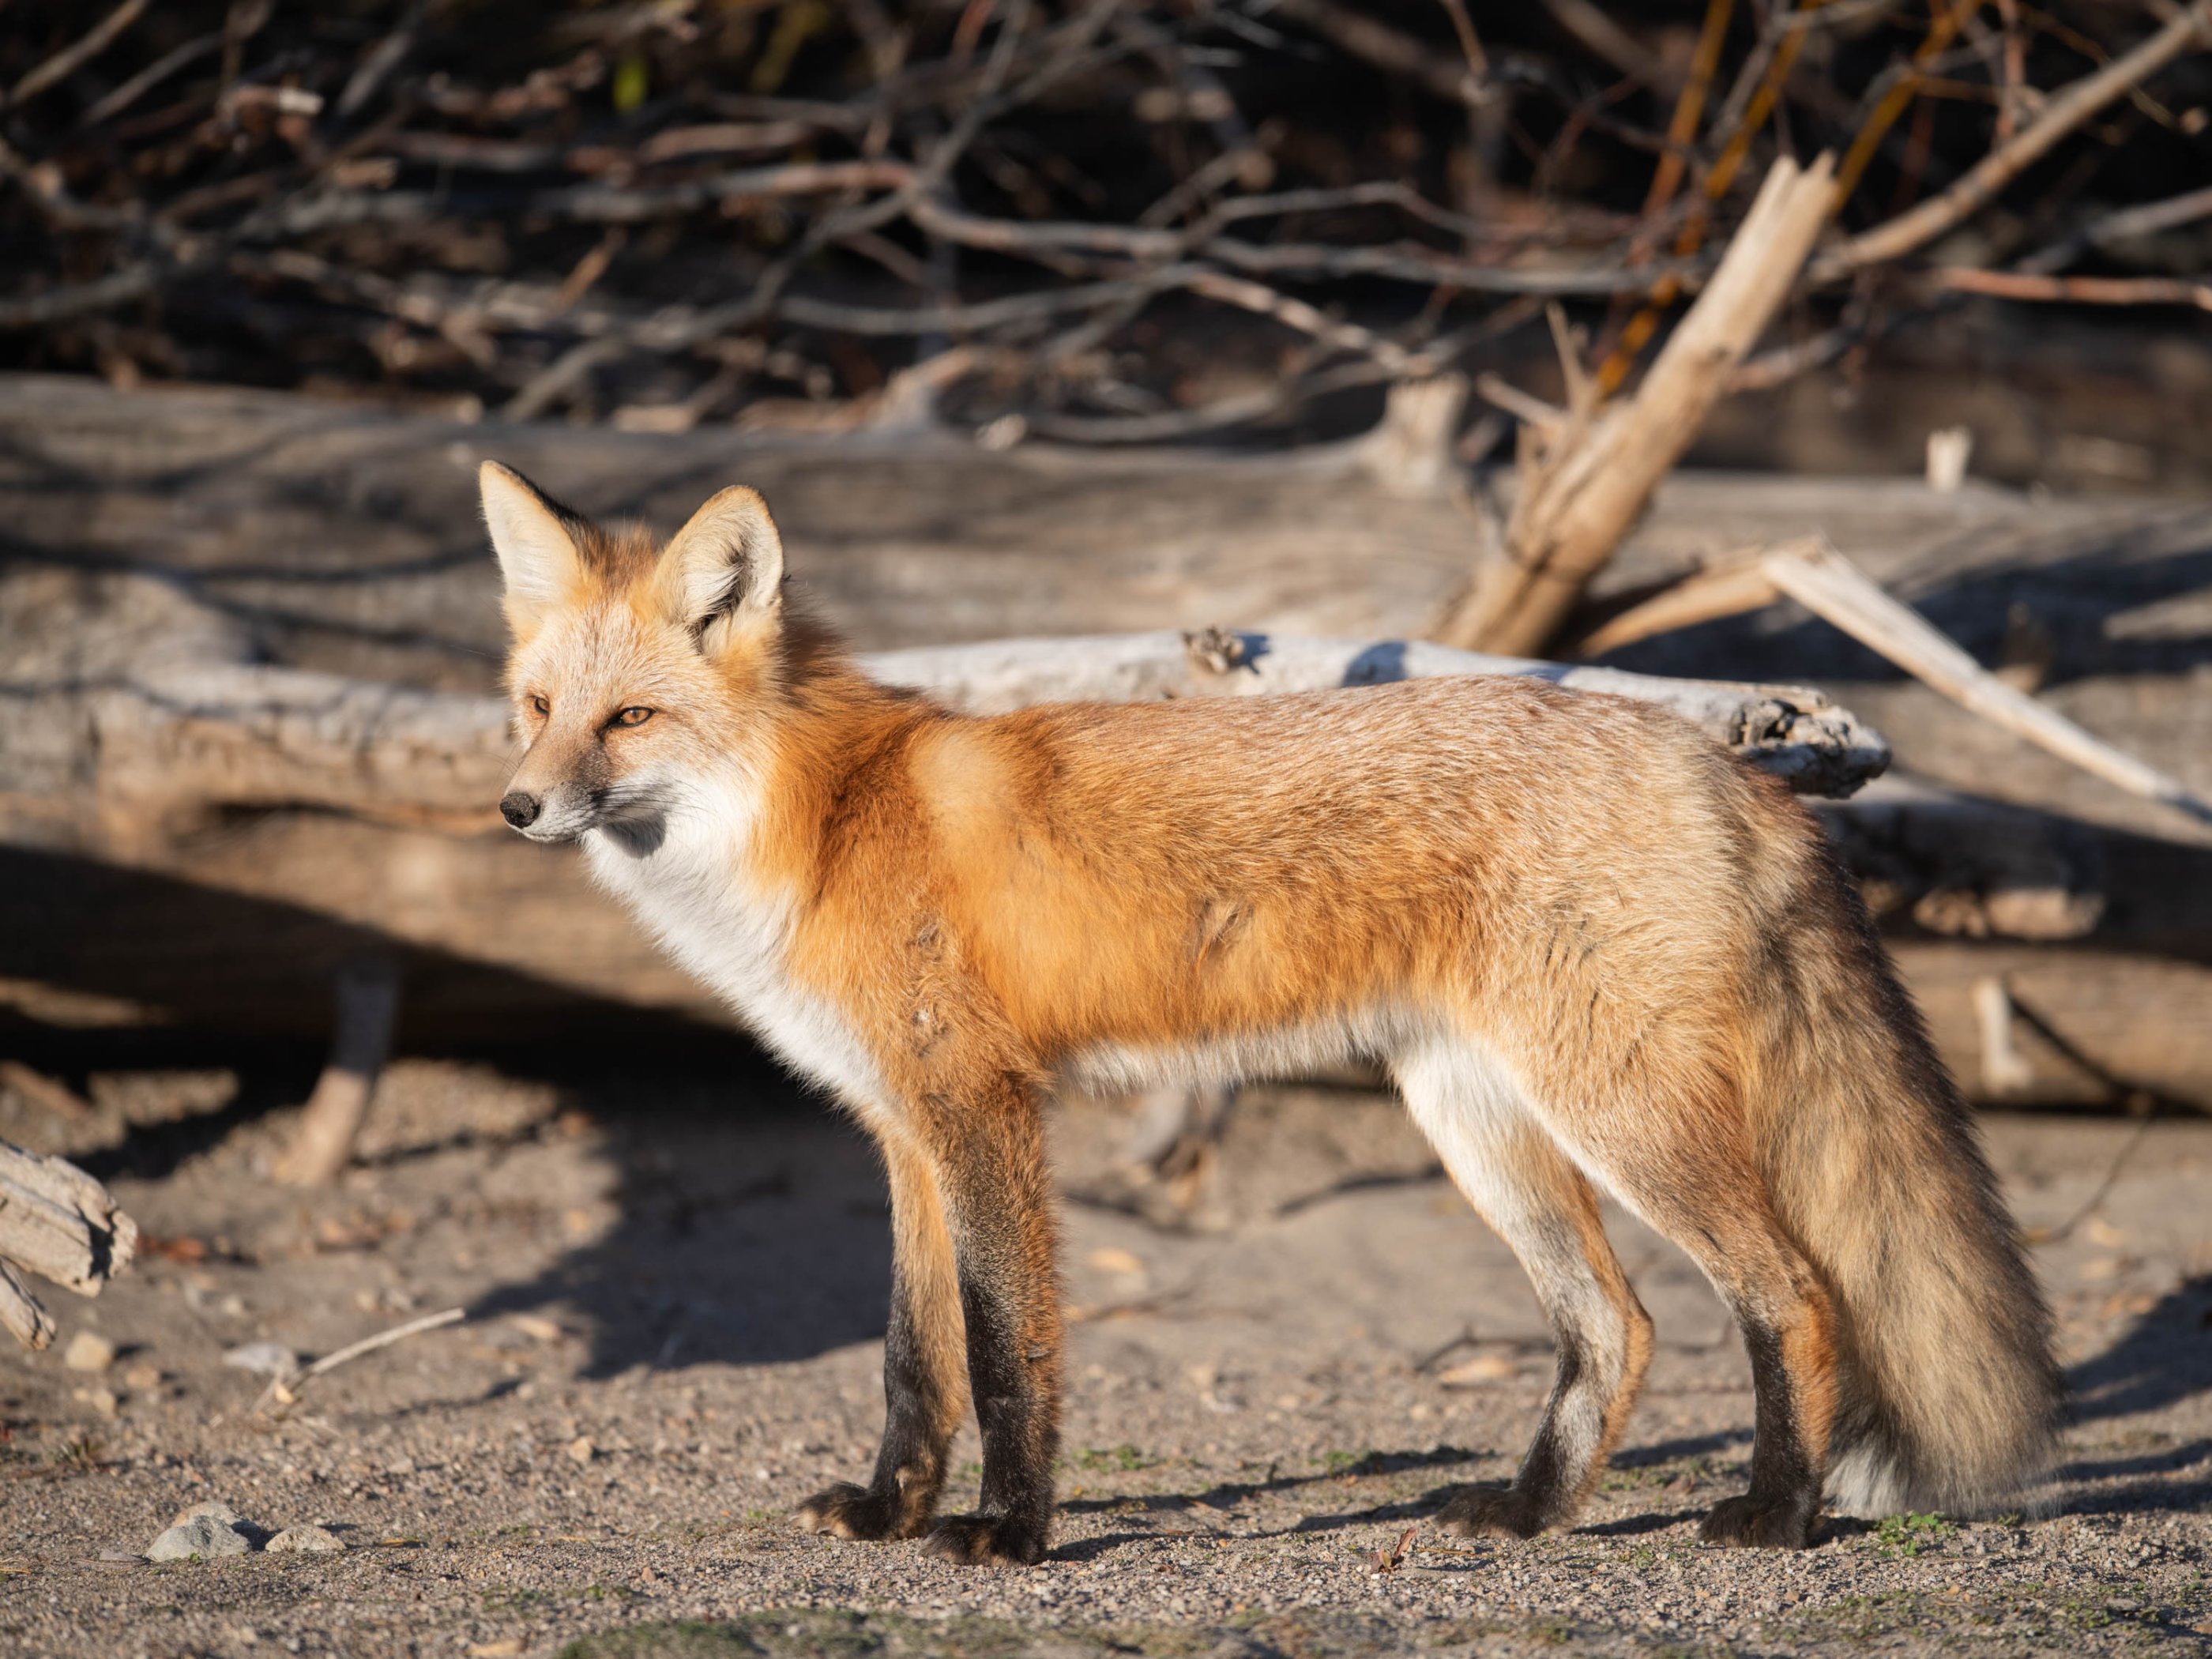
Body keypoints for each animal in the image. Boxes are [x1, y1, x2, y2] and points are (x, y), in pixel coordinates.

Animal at [480, 462, 2052, 1566]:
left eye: (629, 722)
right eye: (537, 707)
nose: (515, 809)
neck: (817, 819)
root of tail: (1718, 758)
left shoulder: (984, 1112)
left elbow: (1004, 1352)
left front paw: (1010, 1534)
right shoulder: (902, 1134)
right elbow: (911, 1362)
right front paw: (888, 1515)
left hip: (1621, 1115)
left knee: (1792, 1294)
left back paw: (1776, 1518)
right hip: (1475, 1116)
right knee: (1618, 1329)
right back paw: (1531, 1515)